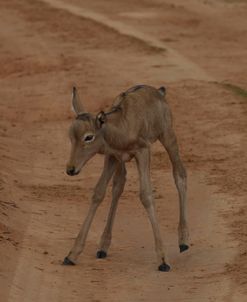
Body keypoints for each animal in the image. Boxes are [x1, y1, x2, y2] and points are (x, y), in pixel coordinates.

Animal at [63, 85, 189, 272]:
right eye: (71, 136)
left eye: (88, 136)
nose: (71, 169)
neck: (121, 127)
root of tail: (159, 92)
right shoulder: (112, 157)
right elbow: (98, 193)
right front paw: (71, 254)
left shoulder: (143, 152)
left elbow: (146, 195)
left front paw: (163, 260)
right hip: (120, 162)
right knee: (118, 186)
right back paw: (103, 246)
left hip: (168, 136)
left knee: (180, 174)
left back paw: (184, 241)